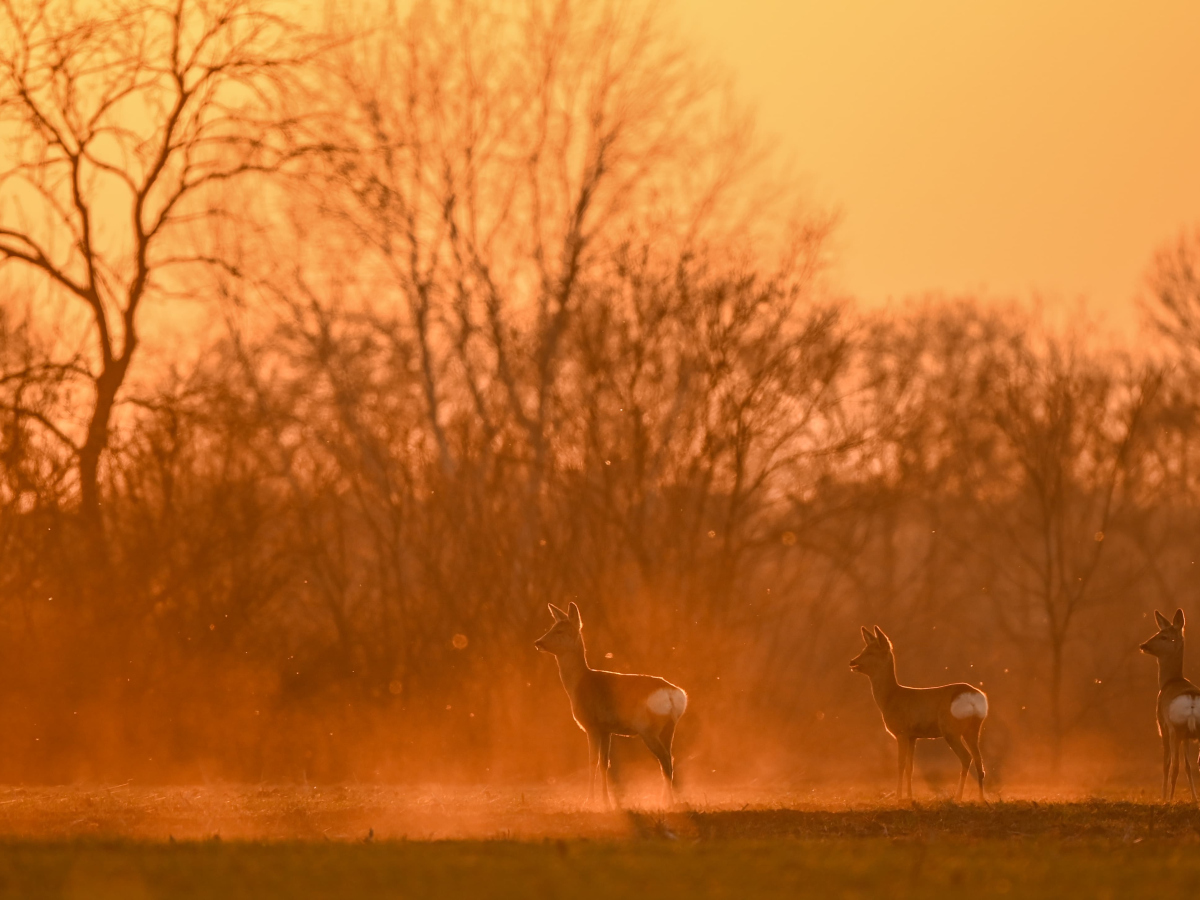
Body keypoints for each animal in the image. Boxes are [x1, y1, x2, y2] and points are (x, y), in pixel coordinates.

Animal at [532, 602, 686, 806]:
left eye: (560, 630)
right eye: (551, 627)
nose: (538, 643)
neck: (579, 684)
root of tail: (673, 695)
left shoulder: (592, 725)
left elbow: (592, 763)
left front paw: (589, 800)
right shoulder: (607, 729)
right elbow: (605, 764)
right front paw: (606, 801)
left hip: (648, 728)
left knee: (665, 761)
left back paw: (668, 802)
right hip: (668, 728)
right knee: (669, 759)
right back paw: (667, 800)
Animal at [849, 628, 988, 801]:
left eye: (871, 652)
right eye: (864, 649)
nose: (852, 662)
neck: (891, 697)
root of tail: (974, 697)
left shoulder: (901, 732)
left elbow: (900, 764)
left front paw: (898, 797)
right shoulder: (913, 736)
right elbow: (911, 767)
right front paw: (909, 796)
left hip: (951, 729)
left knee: (966, 757)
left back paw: (958, 797)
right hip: (973, 729)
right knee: (979, 761)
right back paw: (981, 799)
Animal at [1132, 609, 1200, 806]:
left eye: (1163, 636)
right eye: (1158, 632)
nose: (1144, 645)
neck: (1170, 681)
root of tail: (1192, 702)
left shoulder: (1162, 725)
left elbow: (1167, 764)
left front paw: (1162, 797)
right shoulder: (1187, 736)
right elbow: (1188, 766)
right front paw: (1194, 798)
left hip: (1175, 729)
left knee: (1174, 764)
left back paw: (1169, 799)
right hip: (1190, 731)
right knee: (1196, 763)